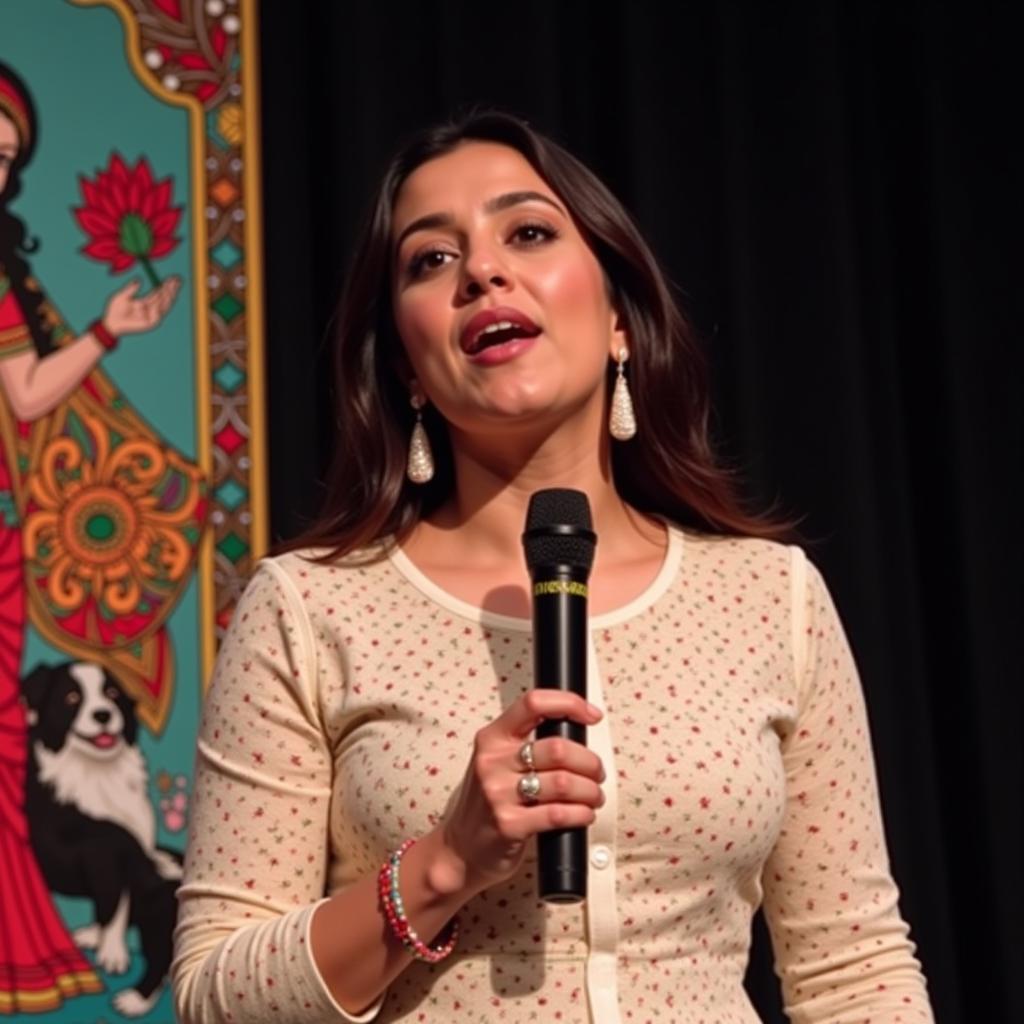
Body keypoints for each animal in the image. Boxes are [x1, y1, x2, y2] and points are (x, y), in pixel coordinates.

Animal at [23, 663, 184, 1015]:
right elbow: (111, 893)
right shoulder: (87, 846)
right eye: (71, 698)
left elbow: (116, 899)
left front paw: (109, 947)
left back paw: (136, 998)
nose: (103, 715)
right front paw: (107, 945)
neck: (95, 772)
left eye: (111, 693)